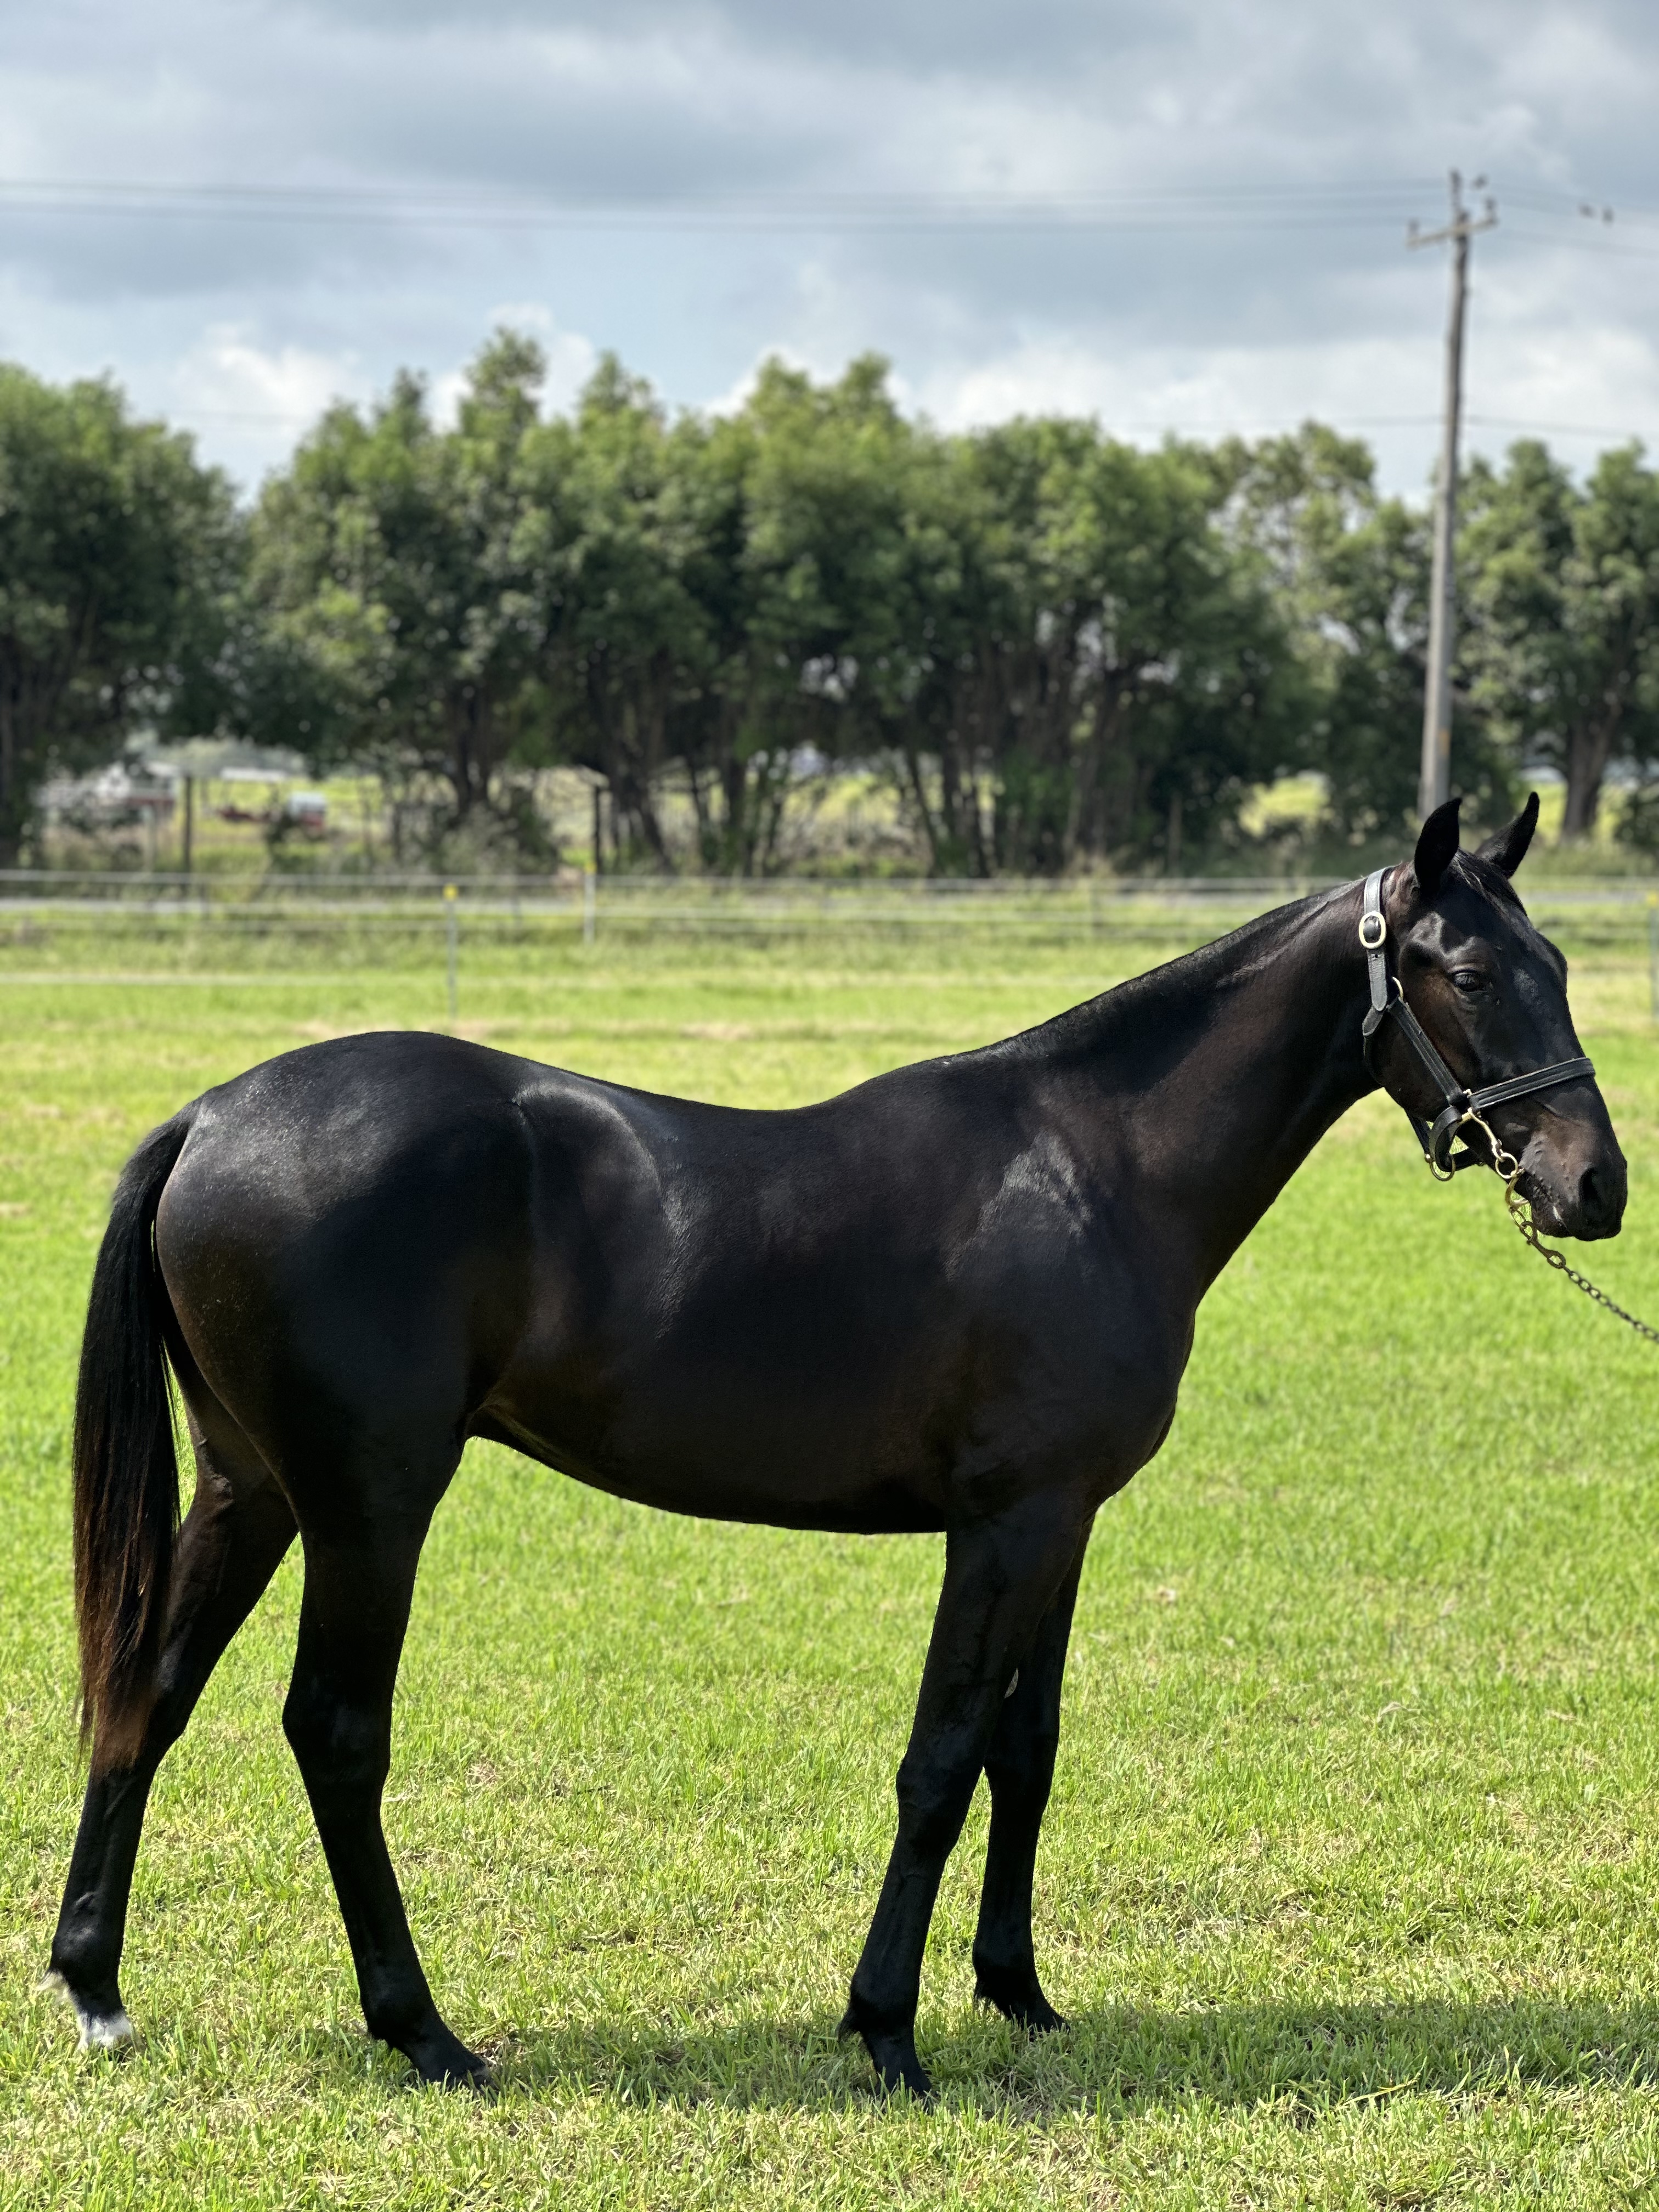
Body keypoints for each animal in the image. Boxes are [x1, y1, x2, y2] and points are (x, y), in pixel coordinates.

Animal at [47, 794, 1626, 2098]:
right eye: (1469, 974)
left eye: (1555, 962)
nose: (1593, 1185)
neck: (1094, 1166)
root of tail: (211, 1117)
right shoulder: (1002, 1524)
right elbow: (941, 1761)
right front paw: (886, 2030)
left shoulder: (1065, 1521)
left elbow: (1027, 1749)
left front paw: (1019, 1994)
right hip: (369, 1503)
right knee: (334, 1730)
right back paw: (421, 2030)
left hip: (251, 1488)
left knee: (150, 1695)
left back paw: (96, 1988)